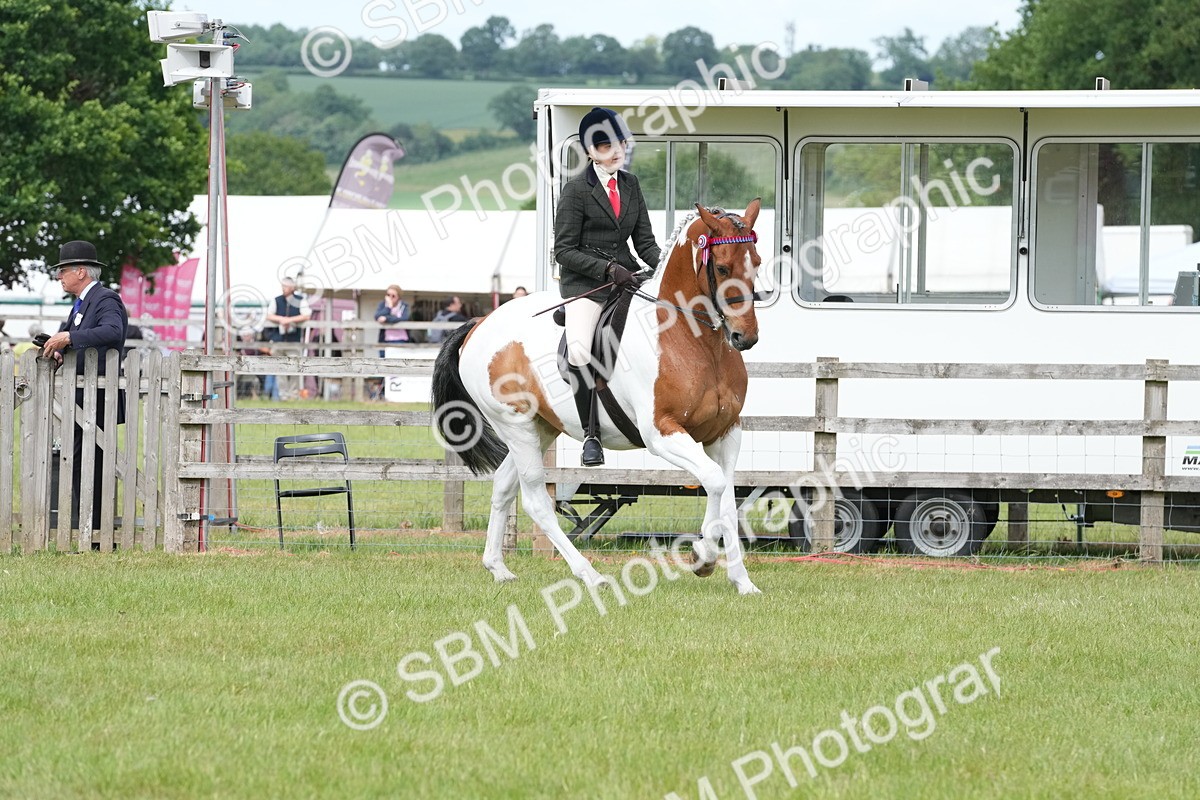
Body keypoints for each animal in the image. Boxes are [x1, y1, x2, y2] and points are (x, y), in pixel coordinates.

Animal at [431, 200, 764, 595]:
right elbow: (713, 482)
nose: (745, 337)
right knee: (536, 501)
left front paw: (741, 581)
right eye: (723, 267)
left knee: (503, 485)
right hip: (515, 425)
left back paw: (498, 567)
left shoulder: (726, 433)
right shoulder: (662, 433)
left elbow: (726, 497)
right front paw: (703, 557)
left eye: (757, 263)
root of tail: (478, 324)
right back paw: (589, 574)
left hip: (540, 427)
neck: (694, 339)